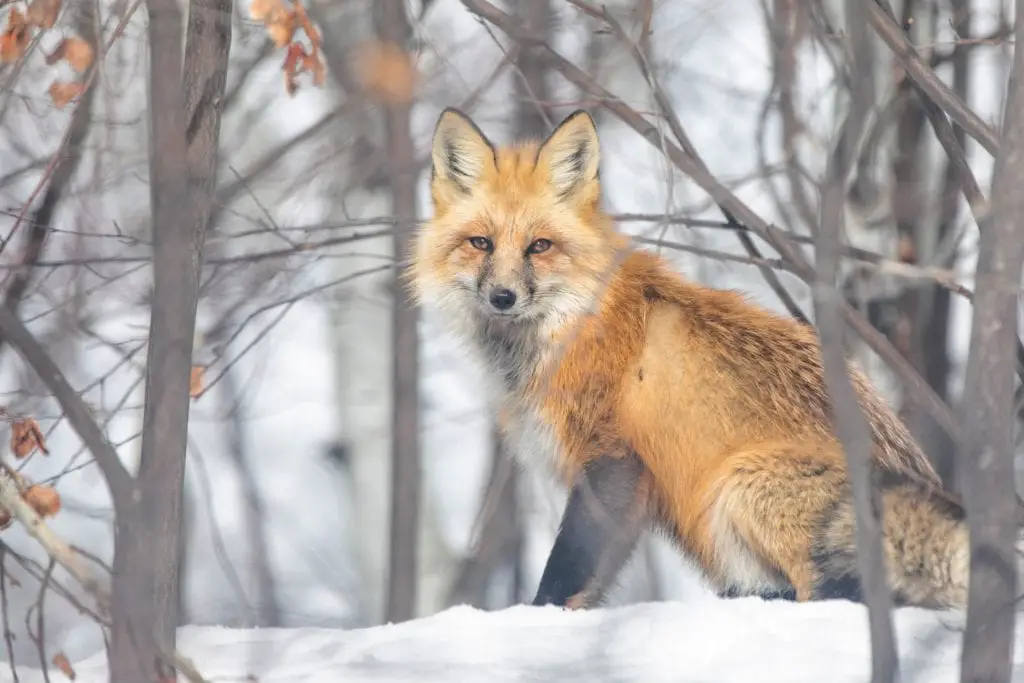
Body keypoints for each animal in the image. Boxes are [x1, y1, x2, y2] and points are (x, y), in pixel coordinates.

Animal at [407, 109, 974, 610]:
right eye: (480, 243)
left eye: (539, 246)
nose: (502, 297)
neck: (571, 326)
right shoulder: (630, 495)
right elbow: (591, 583)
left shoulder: (614, 459)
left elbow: (565, 570)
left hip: (742, 486)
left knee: (838, 595)